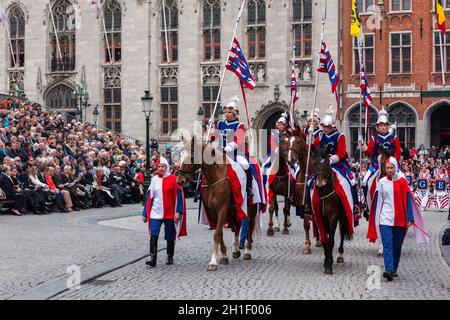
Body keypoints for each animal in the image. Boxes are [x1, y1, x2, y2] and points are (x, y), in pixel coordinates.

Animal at [178, 136, 258, 272]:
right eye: (181, 155)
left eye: (192, 157)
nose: (180, 181)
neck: (215, 178)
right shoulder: (212, 211)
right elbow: (219, 233)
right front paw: (224, 256)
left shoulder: (222, 208)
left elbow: (216, 234)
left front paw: (213, 262)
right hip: (236, 208)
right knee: (238, 225)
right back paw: (236, 250)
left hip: (251, 207)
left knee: (250, 226)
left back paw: (247, 251)